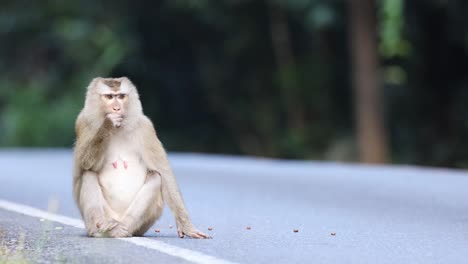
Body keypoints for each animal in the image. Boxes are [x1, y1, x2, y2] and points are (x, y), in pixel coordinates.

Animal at [72, 77, 209, 239]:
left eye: (121, 96)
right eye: (110, 97)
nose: (117, 108)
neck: (118, 129)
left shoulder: (145, 127)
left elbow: (164, 174)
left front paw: (186, 226)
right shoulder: (83, 122)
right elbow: (84, 164)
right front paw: (107, 124)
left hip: (142, 225)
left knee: (156, 178)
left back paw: (122, 229)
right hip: (101, 216)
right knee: (88, 174)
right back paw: (100, 228)